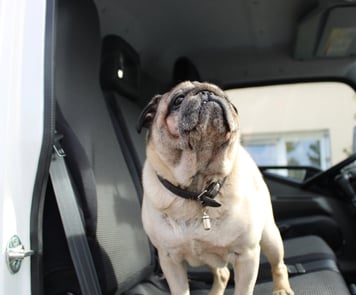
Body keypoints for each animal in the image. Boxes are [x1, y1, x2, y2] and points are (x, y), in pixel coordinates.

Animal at [136, 81, 292, 295]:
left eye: (229, 102)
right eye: (178, 100)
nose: (206, 93)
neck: (198, 189)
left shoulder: (247, 255)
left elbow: (243, 290)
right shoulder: (169, 260)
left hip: (270, 237)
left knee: (279, 265)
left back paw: (282, 289)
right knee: (223, 273)